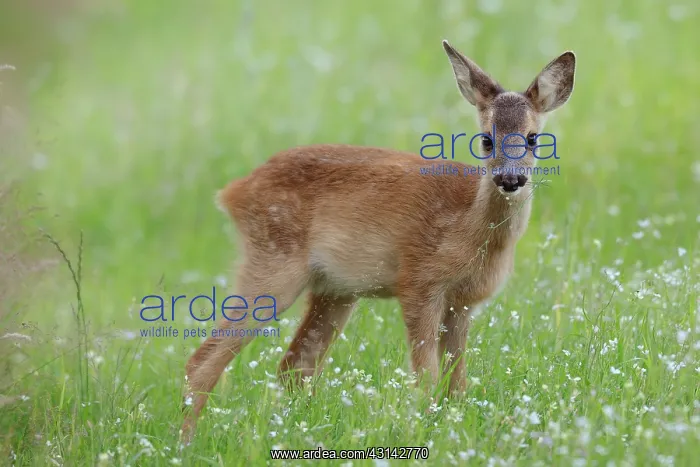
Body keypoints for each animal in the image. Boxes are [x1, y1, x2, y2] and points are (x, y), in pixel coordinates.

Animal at [180, 40, 575, 441]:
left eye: (533, 138)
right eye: (486, 139)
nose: (510, 180)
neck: (470, 230)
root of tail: (233, 192)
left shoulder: (463, 302)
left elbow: (457, 383)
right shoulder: (418, 281)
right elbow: (427, 379)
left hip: (334, 290)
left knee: (294, 365)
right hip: (273, 263)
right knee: (203, 360)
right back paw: (186, 442)